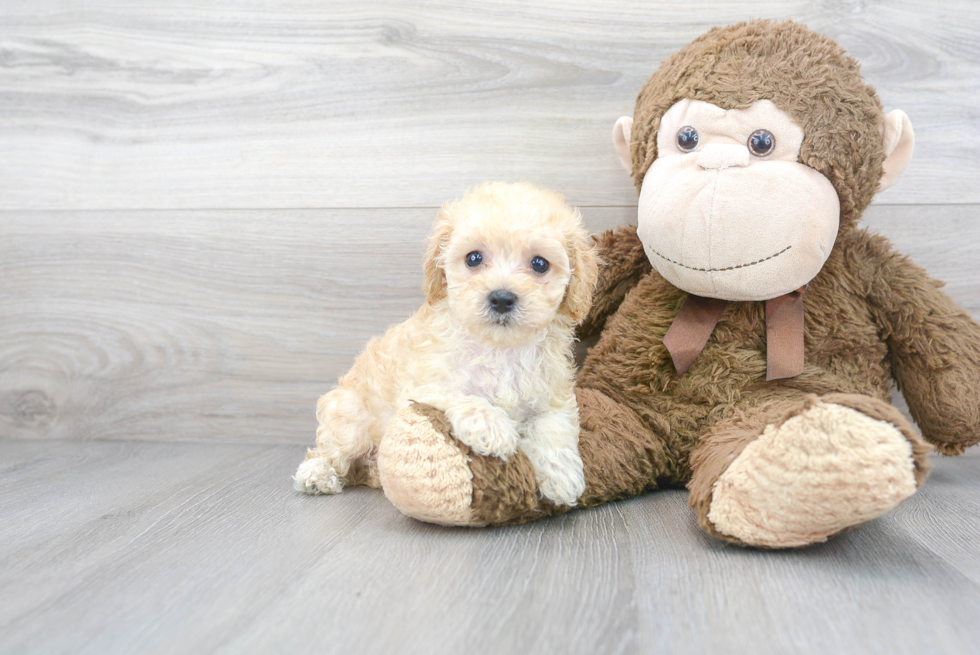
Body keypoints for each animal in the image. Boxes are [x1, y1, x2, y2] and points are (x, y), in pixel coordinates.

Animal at [290, 183, 596, 508]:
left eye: (539, 264)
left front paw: (562, 478)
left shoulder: (552, 395)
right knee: (330, 452)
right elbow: (462, 396)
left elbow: (554, 428)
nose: (502, 298)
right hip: (350, 418)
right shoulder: (423, 387)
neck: (500, 348)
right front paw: (494, 427)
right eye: (473, 258)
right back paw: (317, 475)